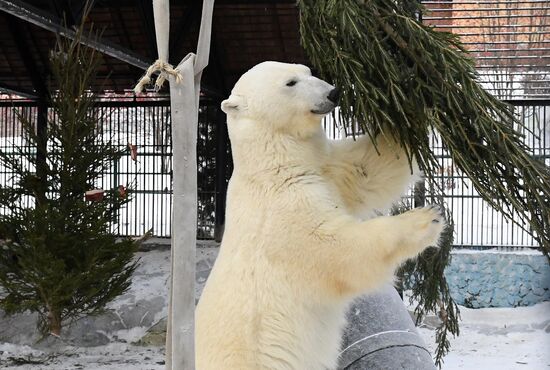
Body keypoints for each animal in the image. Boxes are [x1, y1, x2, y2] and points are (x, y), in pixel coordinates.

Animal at [196, 61, 446, 370]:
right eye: (291, 82)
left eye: (307, 70)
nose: (333, 93)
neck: (275, 165)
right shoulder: (280, 215)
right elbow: (336, 247)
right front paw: (426, 219)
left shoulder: (326, 168)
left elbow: (369, 167)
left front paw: (417, 90)